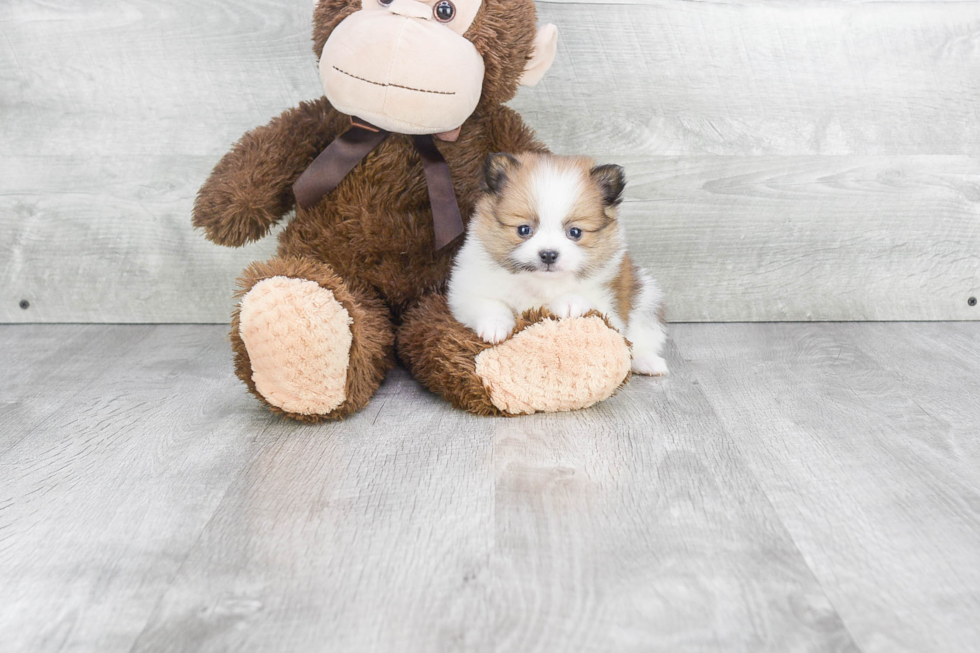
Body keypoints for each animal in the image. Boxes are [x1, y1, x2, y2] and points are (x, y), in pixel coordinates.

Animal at [450, 150, 668, 374]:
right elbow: (489, 304)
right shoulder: (467, 291)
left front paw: (568, 302)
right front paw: (495, 326)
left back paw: (648, 362)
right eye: (524, 229)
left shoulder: (609, 305)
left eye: (575, 232)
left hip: (647, 299)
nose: (548, 254)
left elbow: (588, 301)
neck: (540, 282)